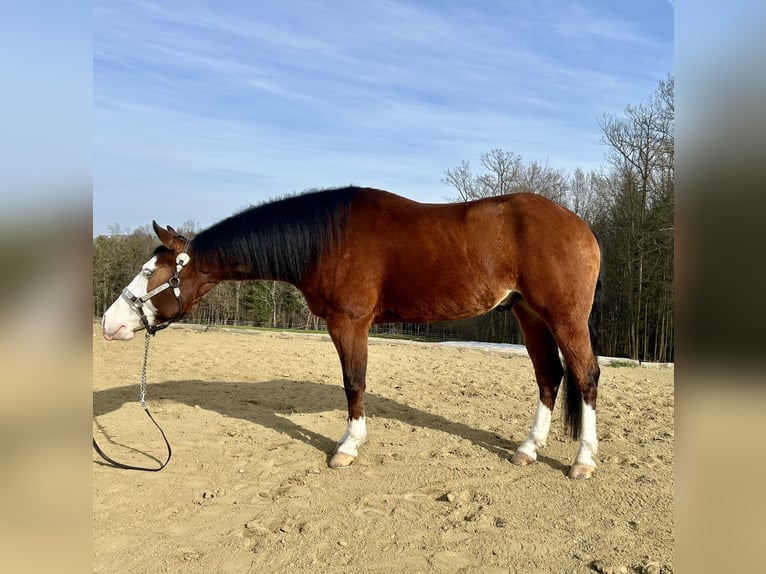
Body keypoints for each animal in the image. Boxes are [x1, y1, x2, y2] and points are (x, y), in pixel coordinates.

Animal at [101, 186, 602, 479]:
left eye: (149, 272)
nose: (110, 323)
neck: (326, 237)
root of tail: (580, 225)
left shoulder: (349, 323)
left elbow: (353, 383)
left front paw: (347, 447)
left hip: (564, 317)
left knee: (585, 376)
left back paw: (582, 460)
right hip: (529, 315)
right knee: (549, 376)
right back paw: (528, 449)